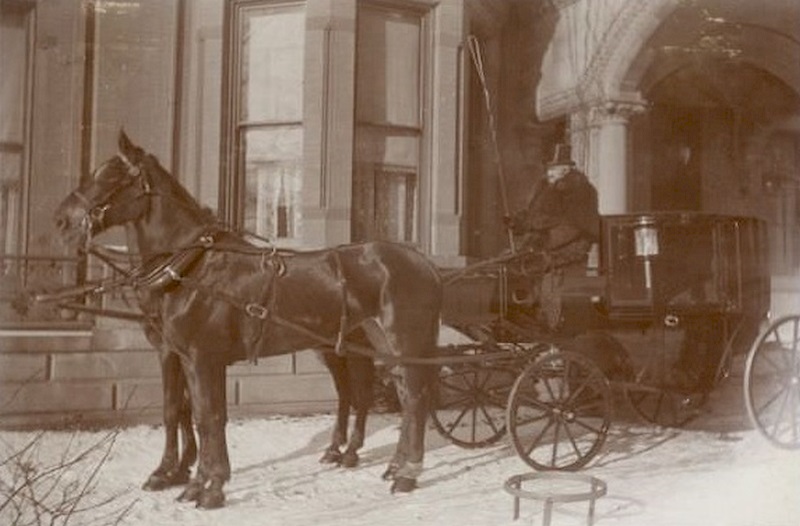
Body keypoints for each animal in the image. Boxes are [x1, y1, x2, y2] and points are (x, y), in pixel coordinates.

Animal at [54, 132, 444, 512]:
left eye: (110, 177)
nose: (62, 219)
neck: (190, 267)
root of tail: (424, 263)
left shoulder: (202, 358)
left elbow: (206, 417)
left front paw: (208, 486)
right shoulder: (183, 356)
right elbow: (187, 412)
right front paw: (185, 477)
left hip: (401, 343)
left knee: (412, 397)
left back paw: (405, 472)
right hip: (369, 345)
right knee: (389, 395)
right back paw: (382, 462)